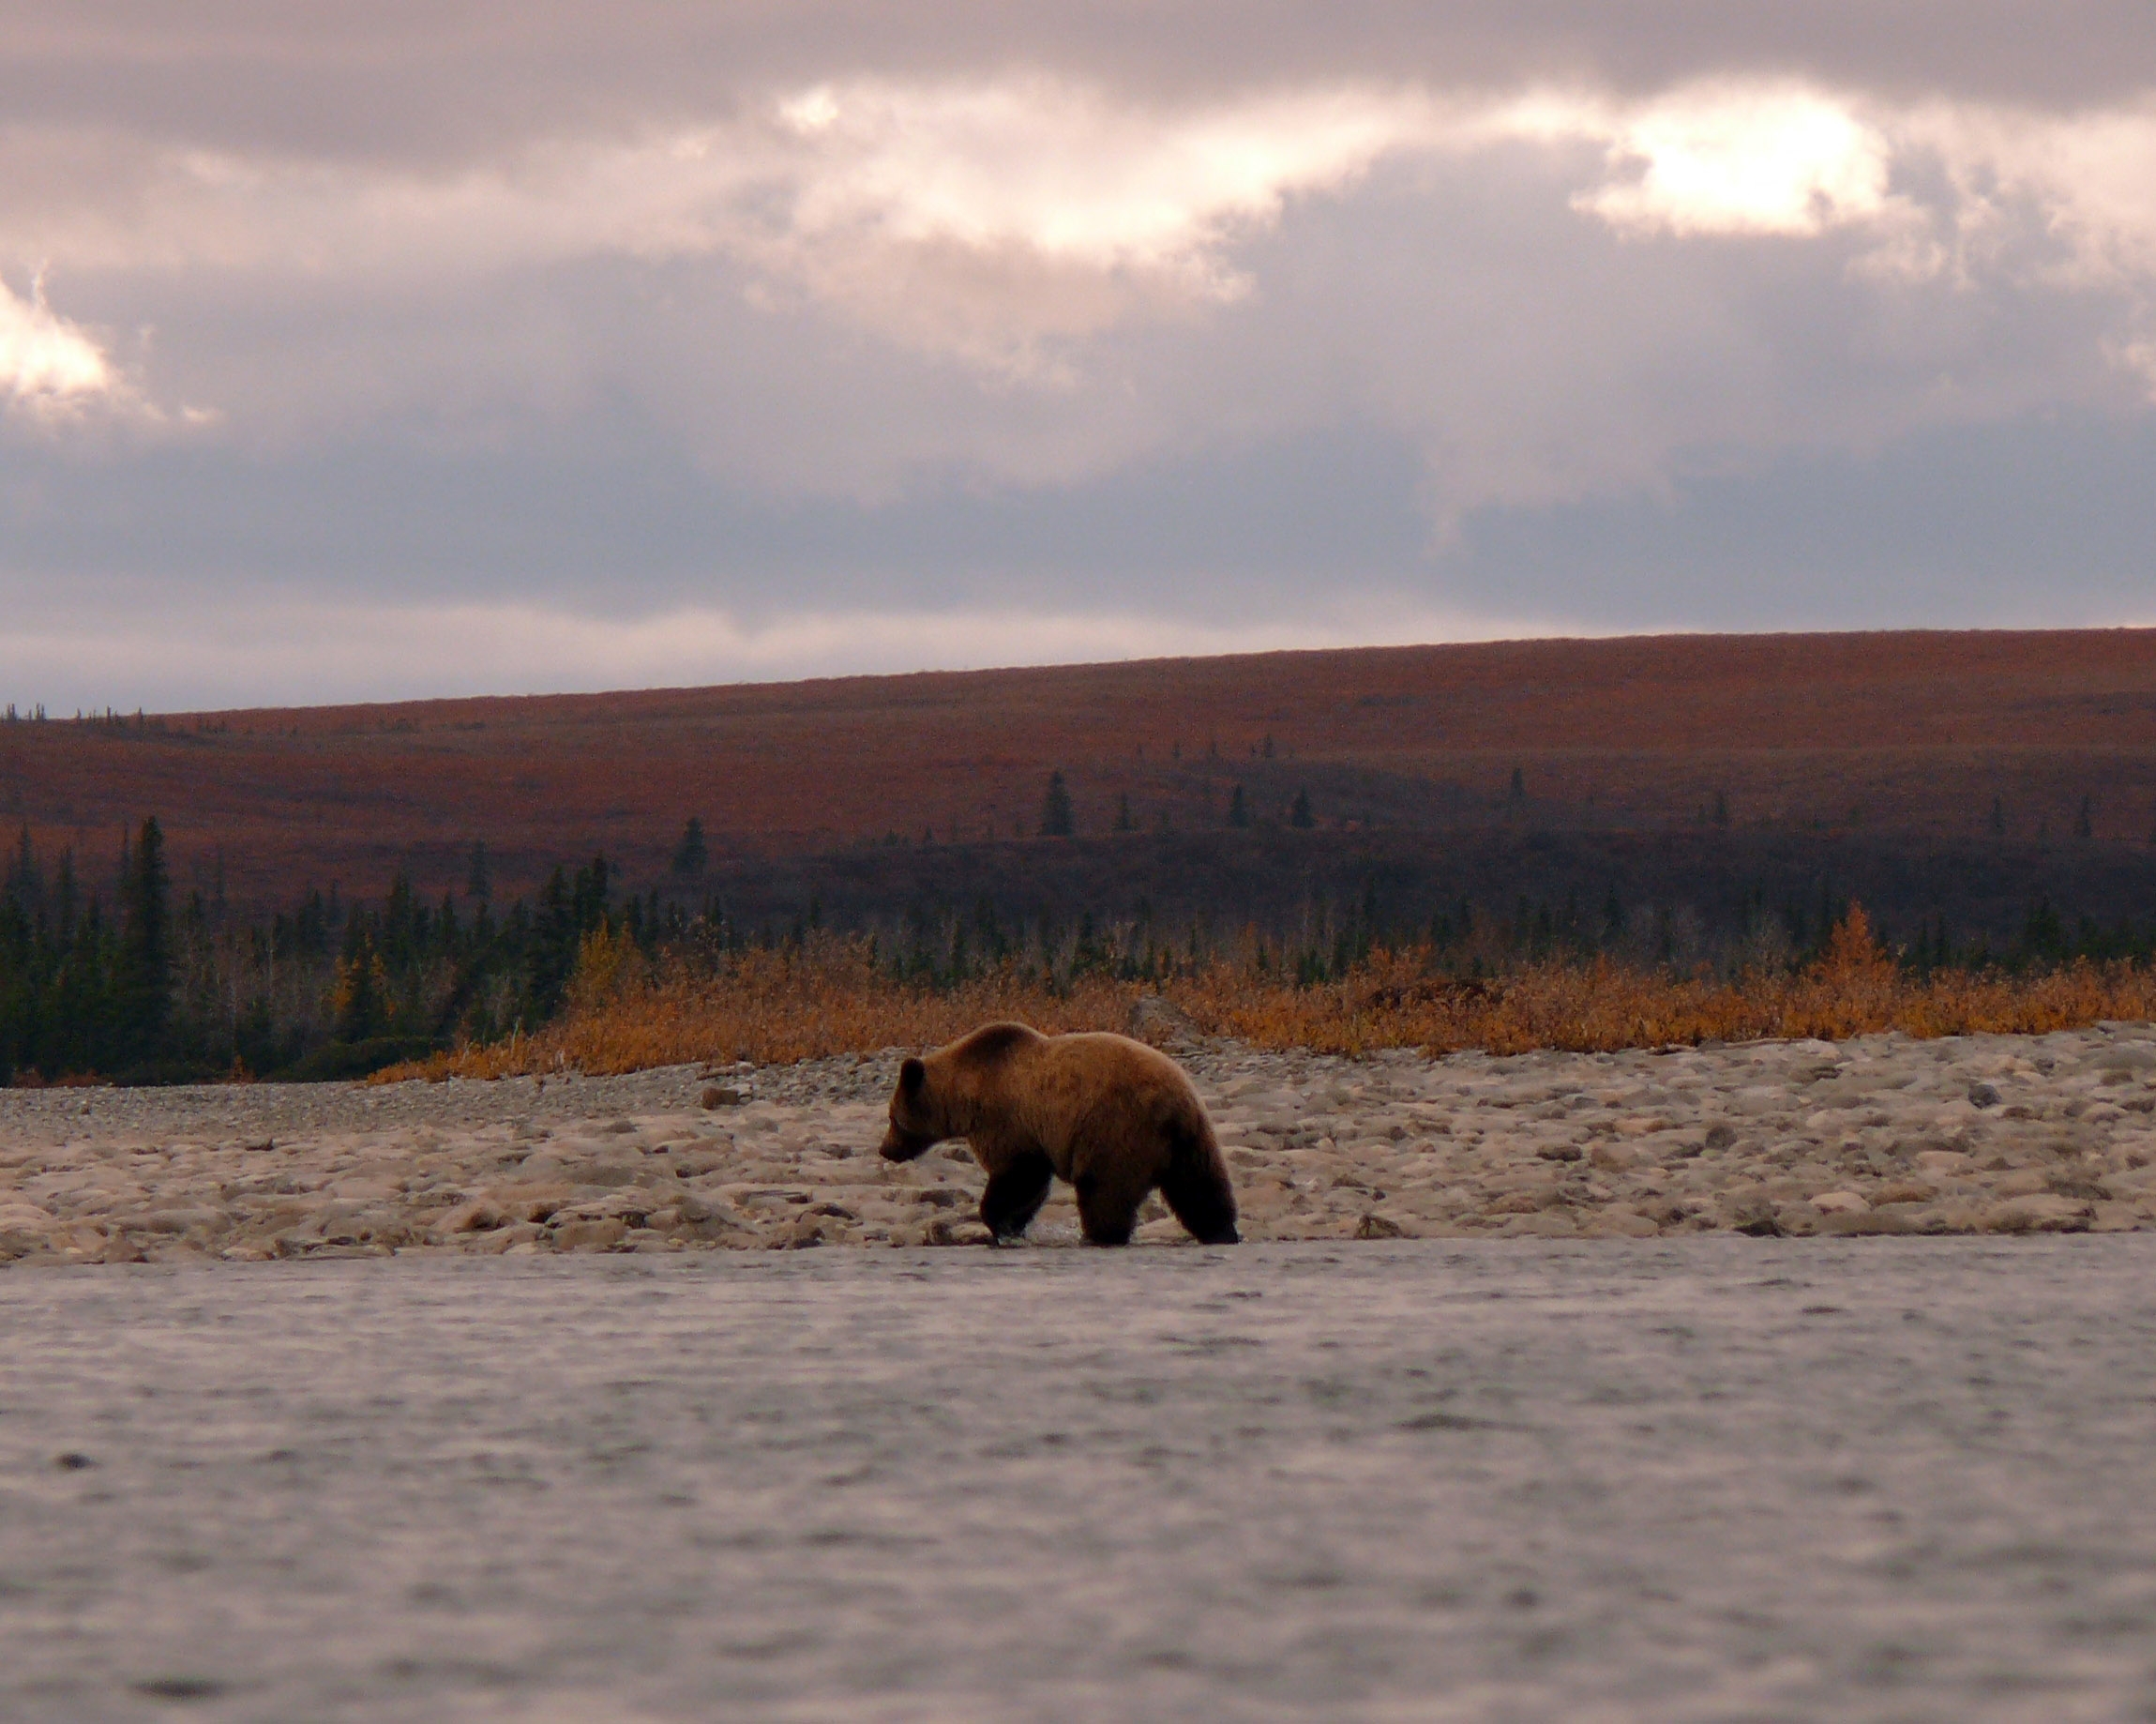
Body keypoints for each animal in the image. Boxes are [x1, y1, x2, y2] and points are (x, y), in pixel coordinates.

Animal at [875, 1018, 1242, 1251]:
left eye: (893, 1117)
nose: (884, 1149)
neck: (965, 1089)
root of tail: (1174, 1106)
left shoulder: (1006, 1121)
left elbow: (1019, 1177)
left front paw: (1000, 1224)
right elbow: (1031, 1186)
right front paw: (1012, 1226)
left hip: (1117, 1132)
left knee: (1104, 1193)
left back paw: (1099, 1235)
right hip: (1194, 1140)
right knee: (1202, 1188)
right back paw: (1223, 1232)